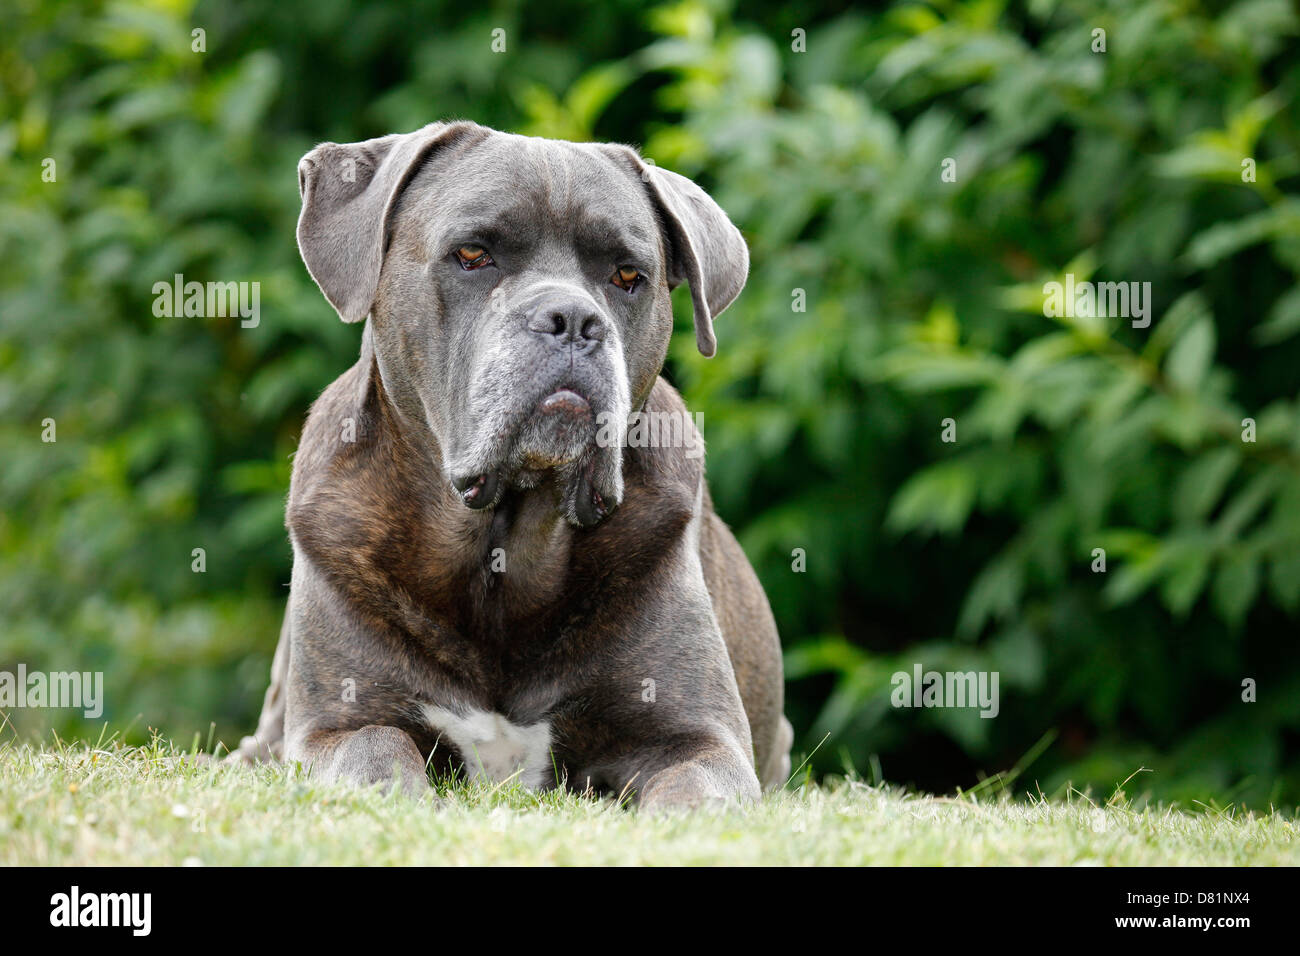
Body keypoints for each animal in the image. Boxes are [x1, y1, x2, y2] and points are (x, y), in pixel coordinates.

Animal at [228, 115, 785, 811]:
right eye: (473, 255)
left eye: (628, 276)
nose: (573, 319)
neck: (501, 548)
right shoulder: (337, 723)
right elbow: (375, 750)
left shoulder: (700, 736)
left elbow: (695, 793)